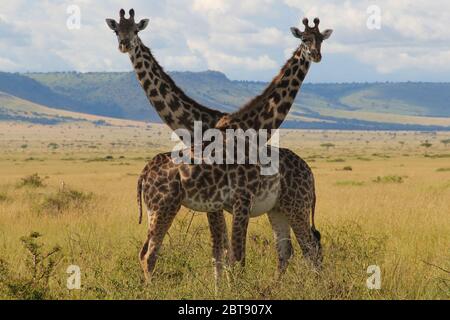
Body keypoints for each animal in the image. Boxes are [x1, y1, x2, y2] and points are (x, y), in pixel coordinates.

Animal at [105, 9, 330, 284]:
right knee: (297, 249)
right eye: (117, 31)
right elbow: (224, 253)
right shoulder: (225, 205)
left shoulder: (230, 203)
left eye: (320, 40)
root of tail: (310, 172)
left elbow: (229, 254)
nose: (124, 45)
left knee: (308, 248)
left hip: (291, 206)